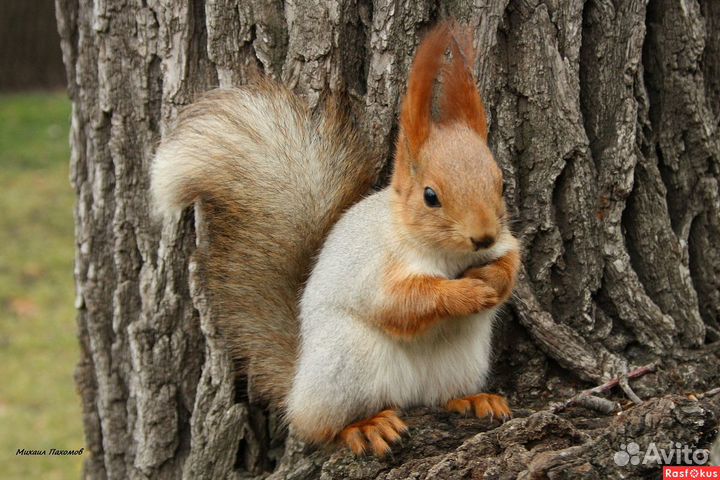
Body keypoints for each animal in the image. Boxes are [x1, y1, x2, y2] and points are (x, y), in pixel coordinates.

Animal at [151, 21, 521, 457]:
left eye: (501, 184)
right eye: (431, 196)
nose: (482, 237)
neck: (447, 256)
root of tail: (299, 386)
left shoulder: (506, 240)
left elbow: (511, 262)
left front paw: (491, 280)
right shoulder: (375, 267)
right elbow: (401, 304)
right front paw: (464, 293)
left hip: (460, 363)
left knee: (441, 396)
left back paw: (474, 399)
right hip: (347, 362)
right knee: (320, 427)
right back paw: (364, 426)